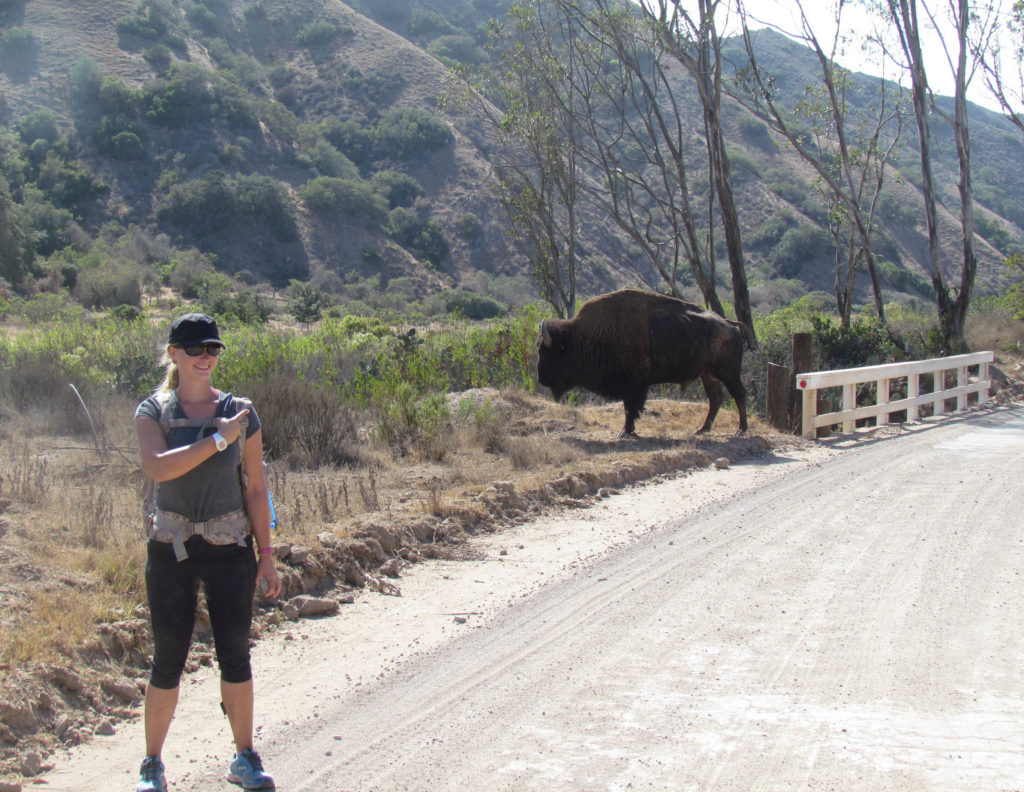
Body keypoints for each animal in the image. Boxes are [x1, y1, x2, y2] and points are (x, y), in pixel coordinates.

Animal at [540, 290, 749, 436]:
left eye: (548, 352)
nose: (541, 379)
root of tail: (730, 325)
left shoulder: (635, 385)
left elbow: (630, 408)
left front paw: (625, 431)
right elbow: (629, 407)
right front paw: (628, 430)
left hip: (728, 373)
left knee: (738, 395)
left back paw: (740, 430)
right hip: (708, 375)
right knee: (716, 399)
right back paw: (702, 429)